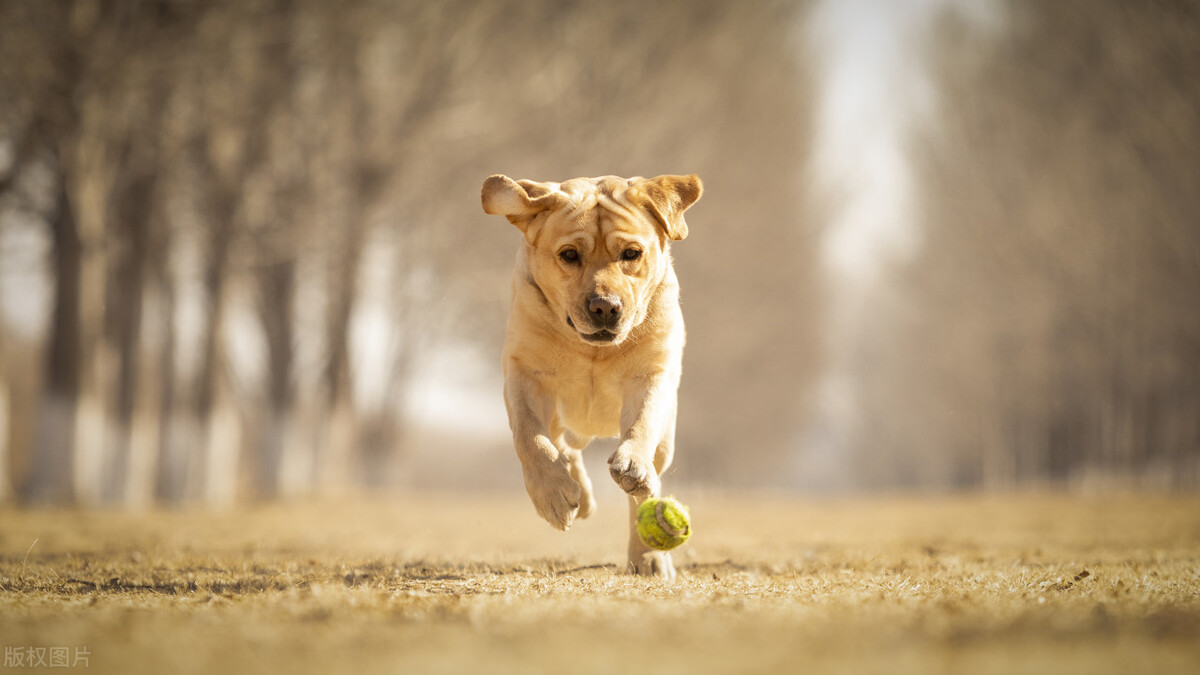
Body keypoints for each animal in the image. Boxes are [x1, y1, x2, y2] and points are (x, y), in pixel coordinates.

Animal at [480, 172, 700, 578]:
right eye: (569, 255)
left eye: (631, 253)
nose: (605, 307)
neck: (593, 351)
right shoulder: (523, 371)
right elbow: (529, 436)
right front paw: (553, 495)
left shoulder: (652, 374)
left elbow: (643, 423)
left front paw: (633, 464)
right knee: (560, 443)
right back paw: (577, 493)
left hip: (667, 442)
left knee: (648, 484)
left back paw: (648, 556)